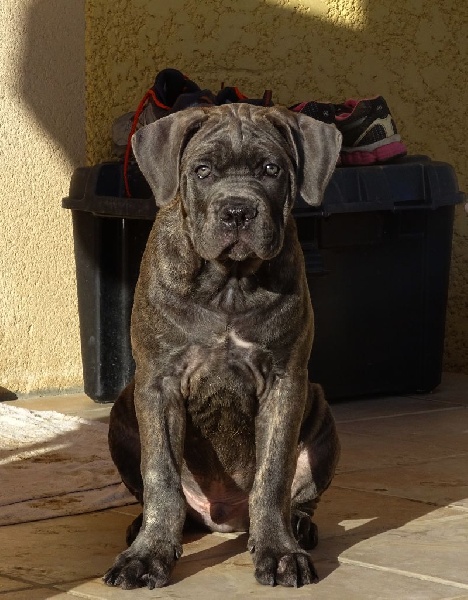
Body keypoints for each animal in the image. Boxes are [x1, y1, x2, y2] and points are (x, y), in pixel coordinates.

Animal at [103, 103, 341, 589]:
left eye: (271, 169)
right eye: (202, 171)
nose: (237, 211)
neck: (228, 284)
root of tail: (226, 519)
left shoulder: (285, 383)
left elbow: (273, 475)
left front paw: (279, 552)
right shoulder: (158, 383)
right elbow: (160, 475)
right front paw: (148, 555)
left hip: (321, 413)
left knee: (298, 494)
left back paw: (298, 526)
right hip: (122, 409)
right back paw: (142, 527)